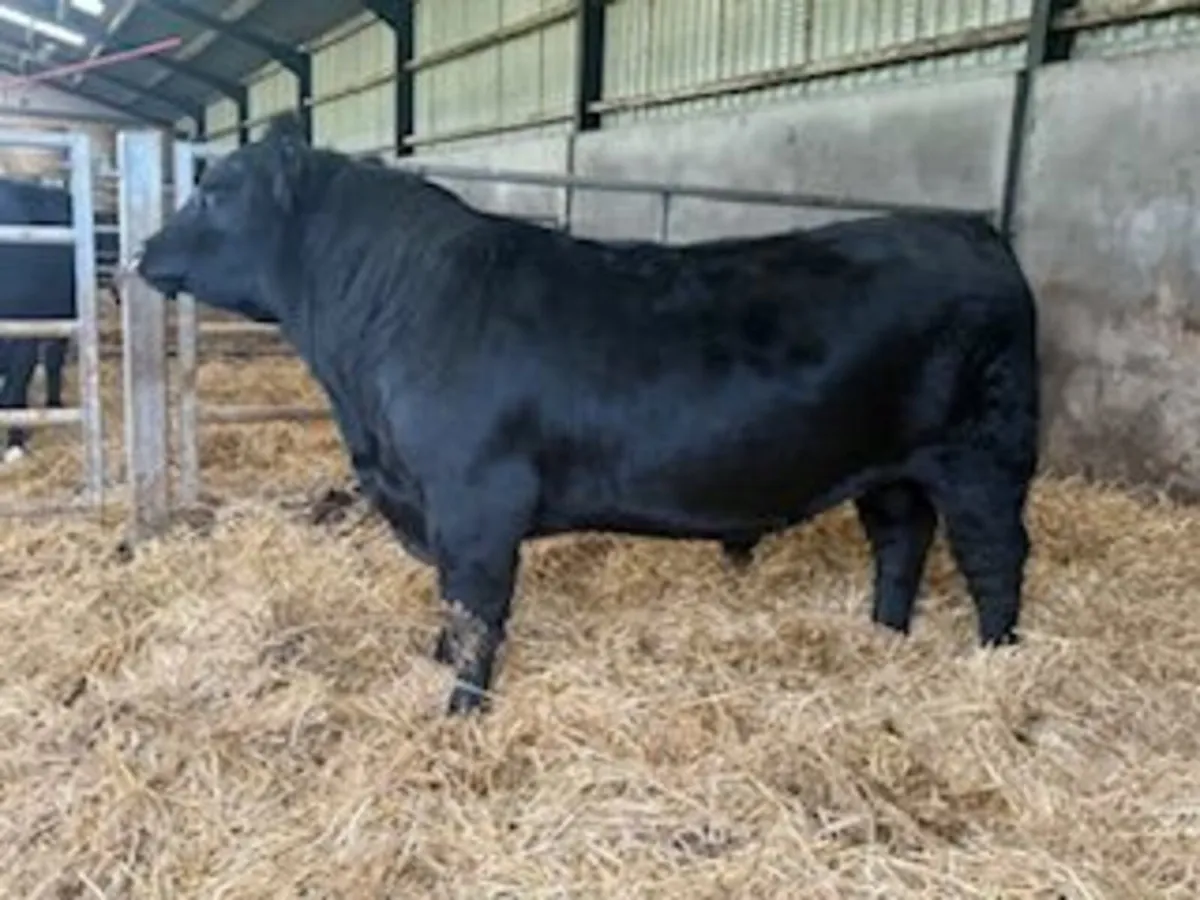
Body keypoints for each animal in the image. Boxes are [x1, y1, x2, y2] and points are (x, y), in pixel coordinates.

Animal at [133, 113, 1040, 716]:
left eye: (215, 192)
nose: (141, 251)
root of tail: (975, 232)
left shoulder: (475, 500)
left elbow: (475, 606)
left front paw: (461, 710)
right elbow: (449, 605)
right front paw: (434, 666)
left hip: (985, 457)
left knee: (995, 557)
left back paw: (996, 662)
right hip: (890, 465)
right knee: (901, 540)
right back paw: (884, 639)